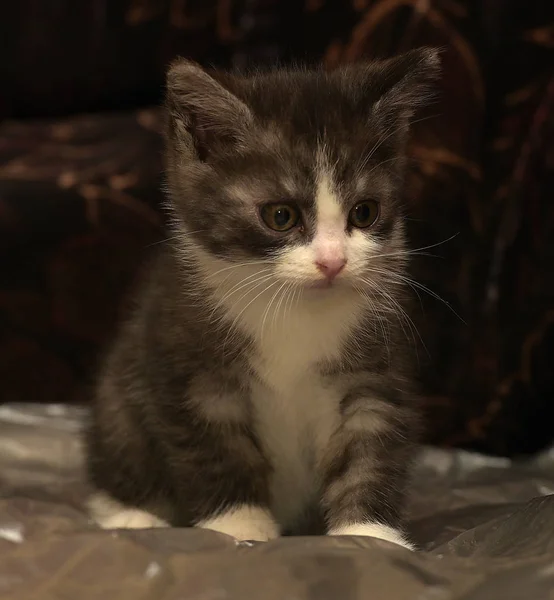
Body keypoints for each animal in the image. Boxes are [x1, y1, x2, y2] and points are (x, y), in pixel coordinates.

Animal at [84, 50, 438, 548]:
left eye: (365, 212)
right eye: (280, 216)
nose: (333, 262)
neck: (293, 306)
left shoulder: (378, 369)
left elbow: (370, 442)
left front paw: (367, 534)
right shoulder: (187, 365)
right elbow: (214, 446)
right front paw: (239, 523)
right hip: (120, 390)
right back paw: (132, 514)